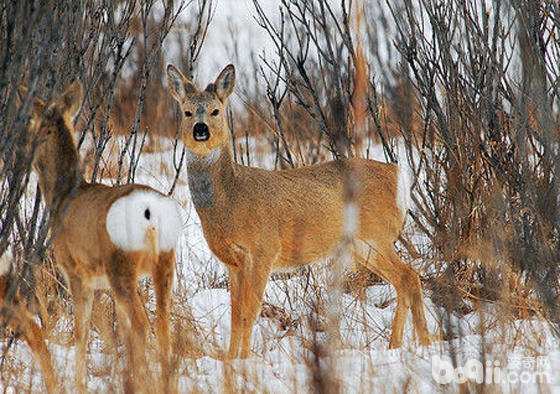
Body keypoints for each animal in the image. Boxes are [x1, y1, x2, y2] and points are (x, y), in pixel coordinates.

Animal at [25, 82, 182, 390]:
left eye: (34, 126)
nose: (22, 154)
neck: (63, 196)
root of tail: (151, 212)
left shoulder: (75, 271)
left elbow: (81, 332)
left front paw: (79, 383)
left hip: (120, 263)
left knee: (142, 325)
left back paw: (139, 382)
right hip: (164, 262)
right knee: (161, 324)